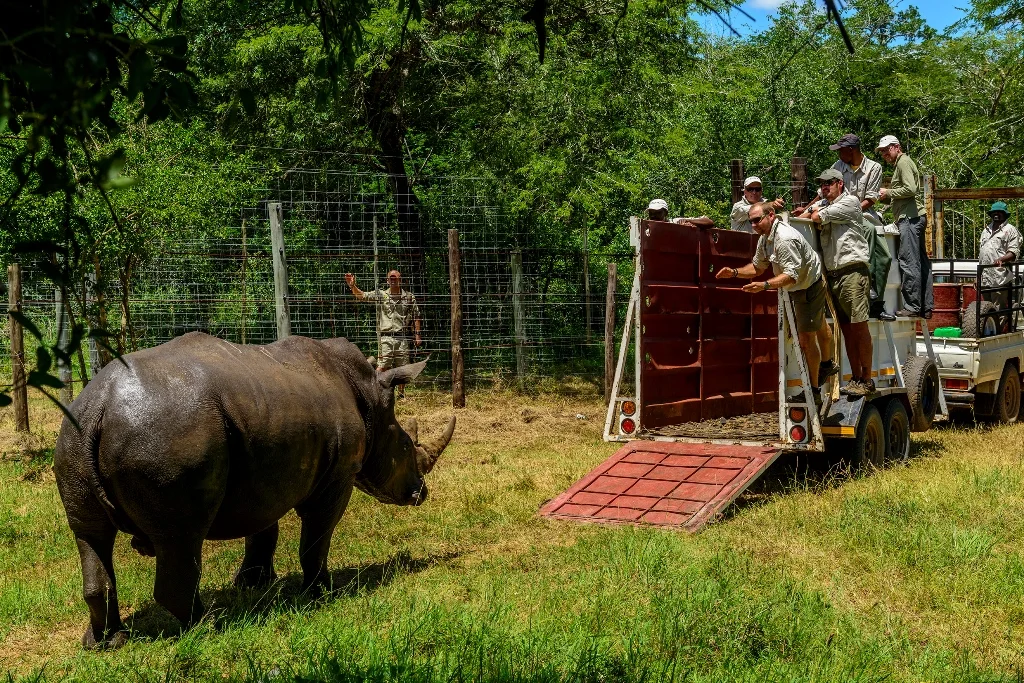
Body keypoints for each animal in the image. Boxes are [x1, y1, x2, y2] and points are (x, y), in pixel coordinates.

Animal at [53, 332, 454, 649]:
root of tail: (100, 405)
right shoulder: (337, 477)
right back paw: (207, 626)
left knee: (90, 535)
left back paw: (106, 642)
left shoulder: (267, 467)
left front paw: (253, 584)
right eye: (408, 446)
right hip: (166, 435)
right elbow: (317, 536)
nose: (421, 494)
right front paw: (322, 593)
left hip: (73, 439)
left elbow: (263, 527)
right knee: (180, 537)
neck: (371, 399)